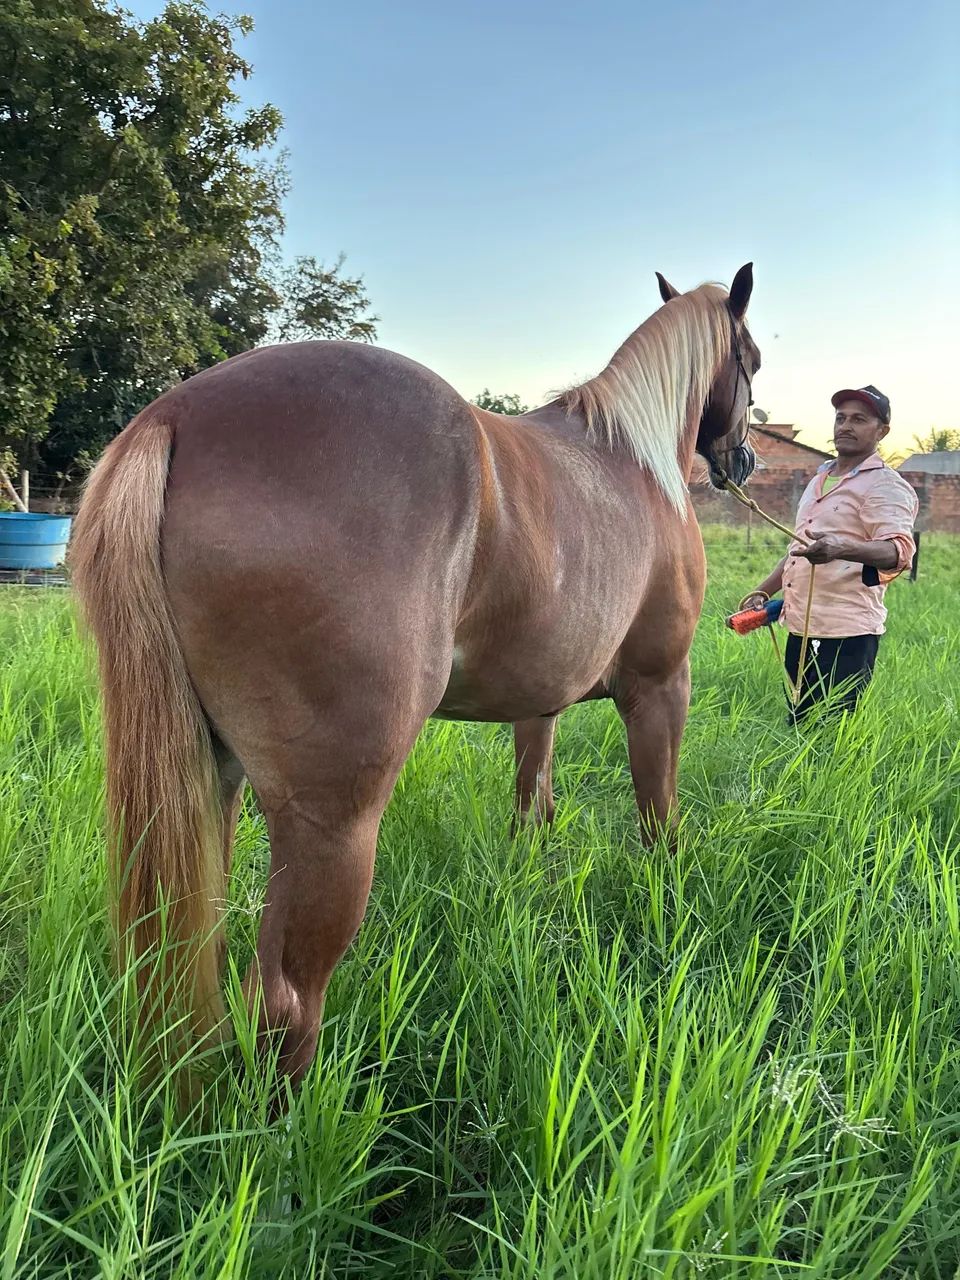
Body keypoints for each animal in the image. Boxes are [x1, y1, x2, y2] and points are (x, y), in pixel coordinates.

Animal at [70, 263, 760, 1088]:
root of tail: (175, 414)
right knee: (287, 1002)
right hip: (333, 822)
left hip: (208, 781)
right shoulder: (660, 688)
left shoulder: (538, 705)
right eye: (751, 360)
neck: (632, 459)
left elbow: (533, 805)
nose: (743, 461)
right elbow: (658, 818)